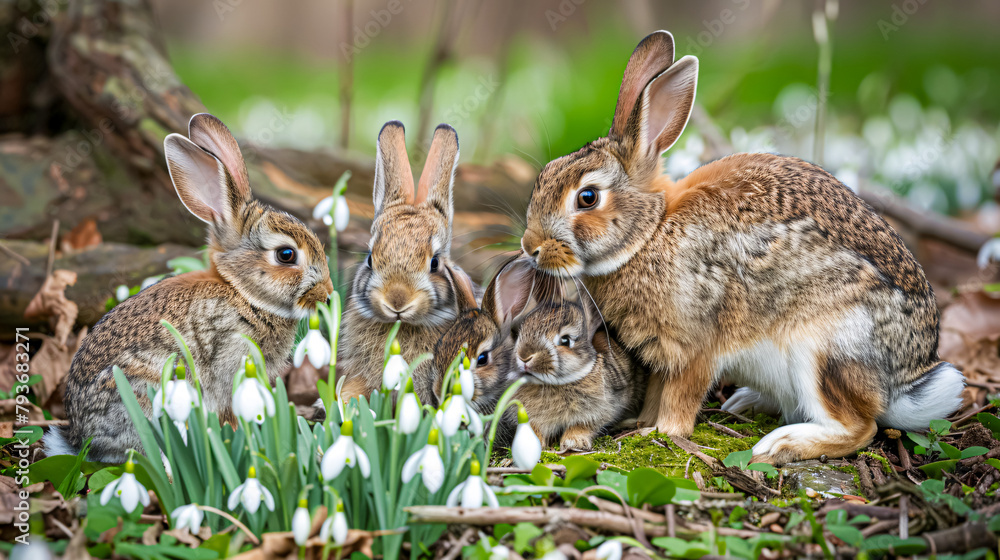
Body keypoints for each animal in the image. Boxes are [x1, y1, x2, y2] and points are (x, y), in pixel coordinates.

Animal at [511, 289, 645, 452]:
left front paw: (573, 442)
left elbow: (583, 425)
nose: (524, 356)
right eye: (520, 333)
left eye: (565, 340)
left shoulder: (600, 409)